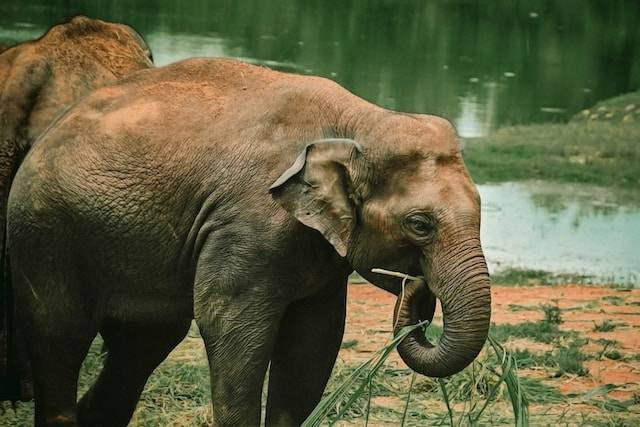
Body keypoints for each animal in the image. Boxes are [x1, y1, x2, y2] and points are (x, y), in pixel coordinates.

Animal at [7, 57, 491, 426]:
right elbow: (229, 324)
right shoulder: (249, 224)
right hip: (46, 235)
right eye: (420, 224)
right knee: (61, 336)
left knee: (143, 343)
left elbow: (314, 339)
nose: (418, 288)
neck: (361, 121)